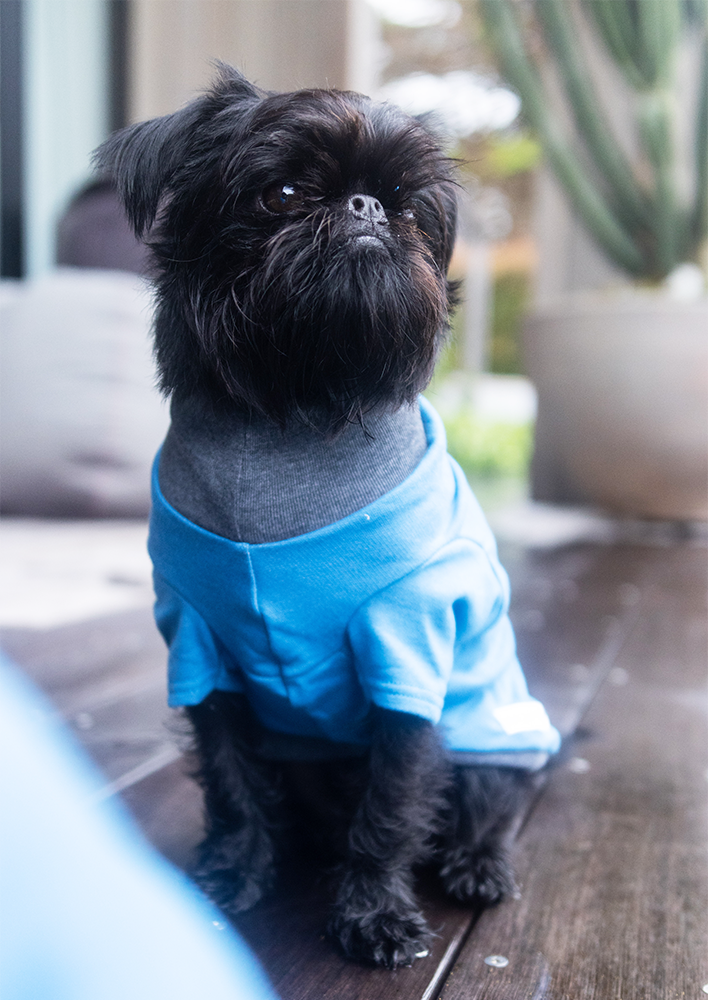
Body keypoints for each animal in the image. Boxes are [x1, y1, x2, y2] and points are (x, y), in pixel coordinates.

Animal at [97, 64, 556, 968]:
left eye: (410, 209)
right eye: (280, 193)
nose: (367, 208)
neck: (292, 417)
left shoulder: (409, 646)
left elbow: (390, 805)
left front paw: (373, 914)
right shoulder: (200, 646)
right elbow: (230, 779)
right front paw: (231, 873)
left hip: (492, 720)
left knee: (491, 797)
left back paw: (476, 866)